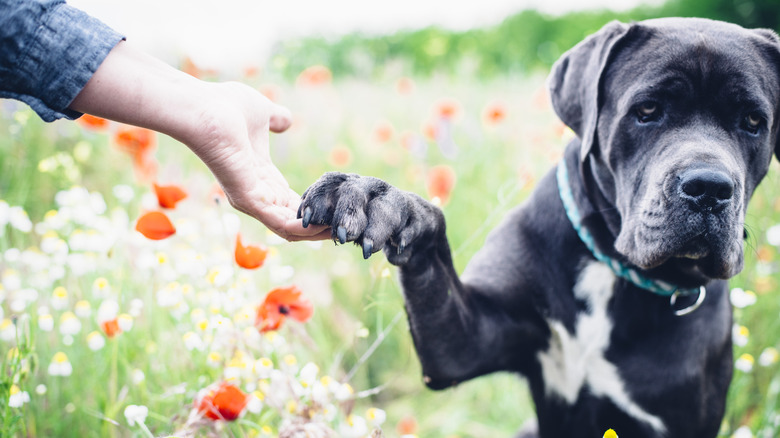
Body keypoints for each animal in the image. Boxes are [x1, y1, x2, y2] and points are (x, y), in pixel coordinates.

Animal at [298, 18, 780, 436]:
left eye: (754, 122)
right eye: (646, 110)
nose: (709, 187)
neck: (611, 266)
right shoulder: (466, 342)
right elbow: (432, 236)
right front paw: (379, 198)